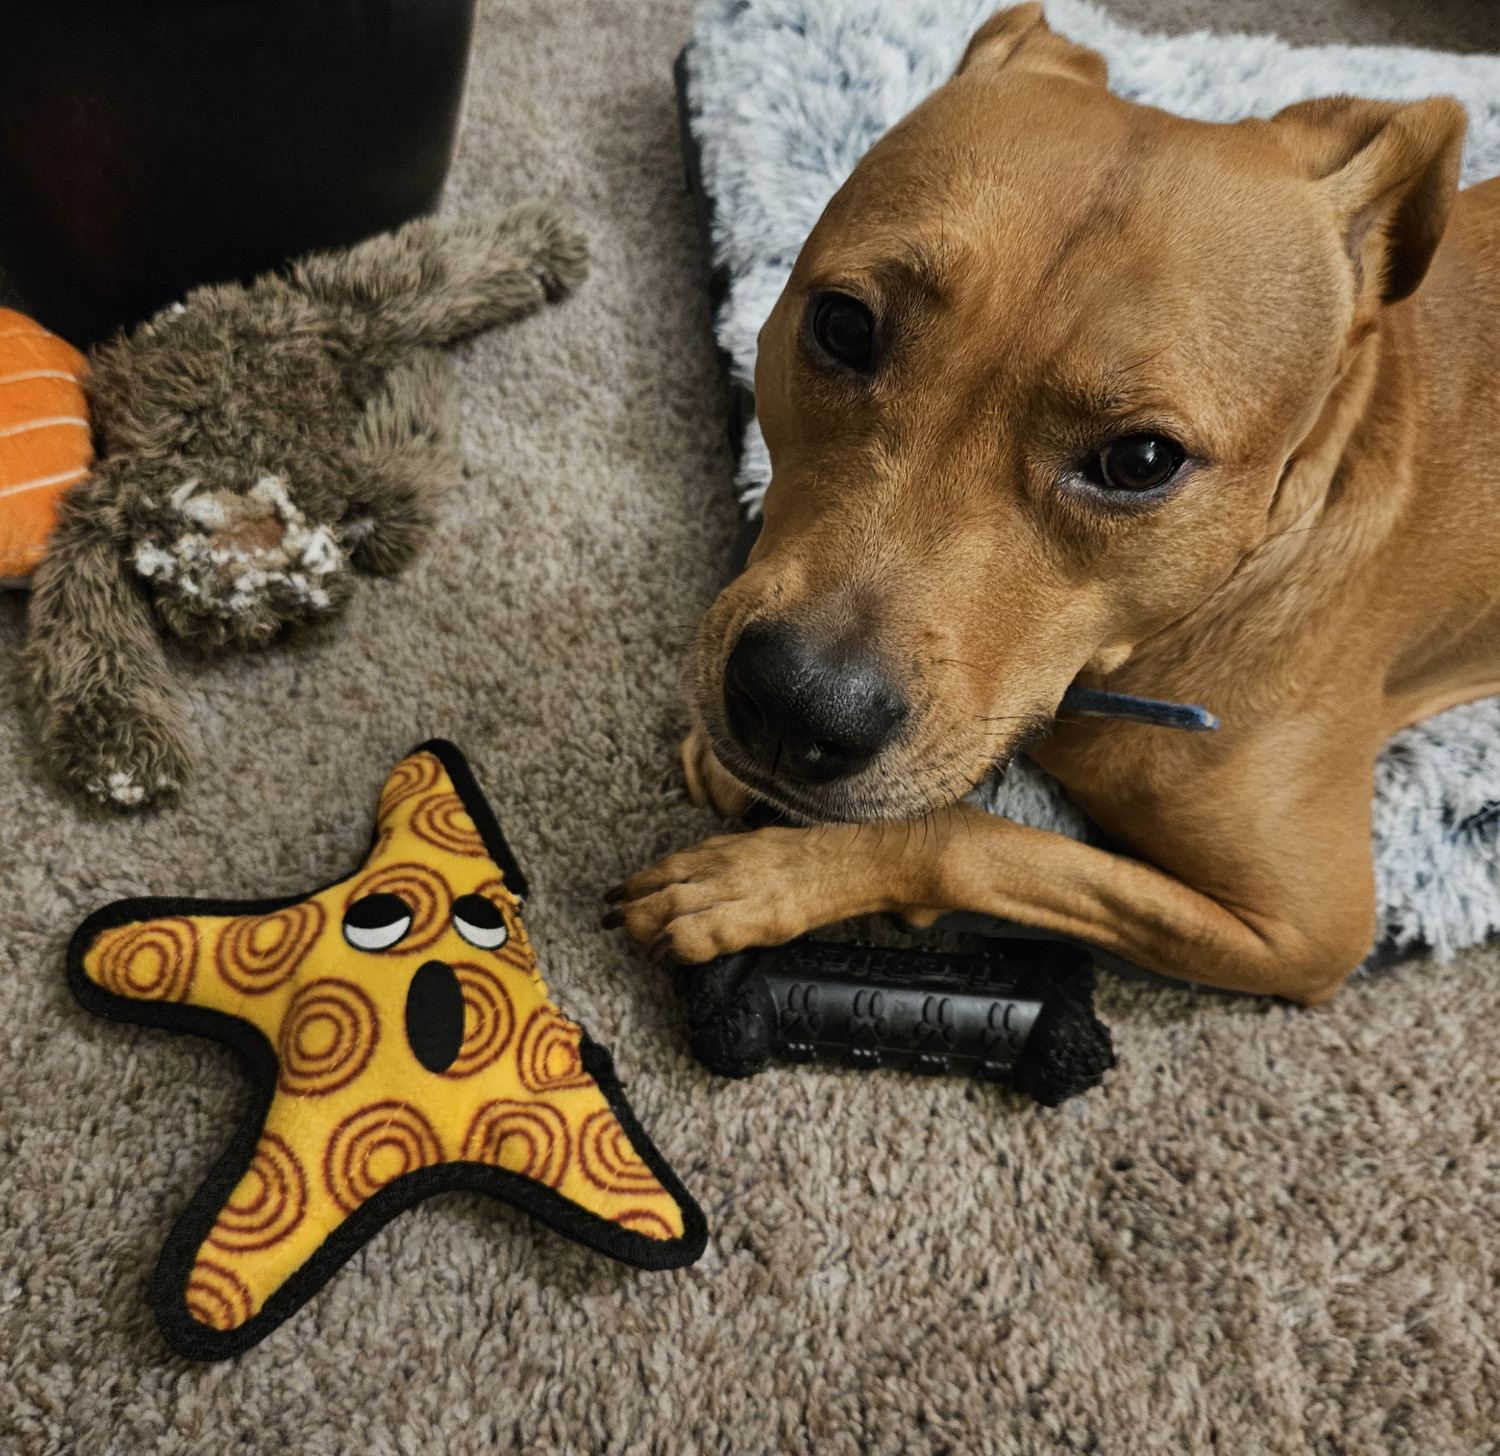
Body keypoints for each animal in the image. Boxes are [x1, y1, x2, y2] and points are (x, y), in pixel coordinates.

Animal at [606, 2, 1500, 1001]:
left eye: (1141, 460)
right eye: (842, 325)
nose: (795, 706)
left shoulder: (1302, 935)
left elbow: (967, 840)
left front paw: (763, 880)